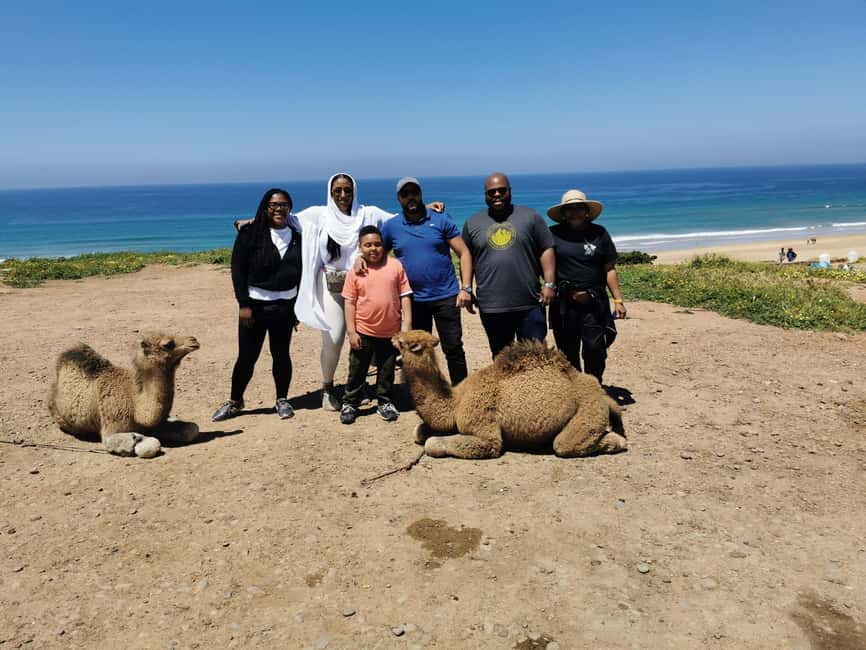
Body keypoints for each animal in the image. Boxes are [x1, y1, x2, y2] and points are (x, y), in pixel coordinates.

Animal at [48, 332, 200, 458]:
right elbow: (149, 444)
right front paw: (137, 441)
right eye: (167, 344)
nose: (194, 340)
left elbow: (192, 429)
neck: (134, 403)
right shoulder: (111, 427)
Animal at [392, 330, 626, 460]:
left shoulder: (485, 431)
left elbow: (432, 443)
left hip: (588, 411)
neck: (456, 403)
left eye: (403, 342)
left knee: (564, 444)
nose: (392, 336)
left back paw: (618, 442)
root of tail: (601, 394)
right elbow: (419, 431)